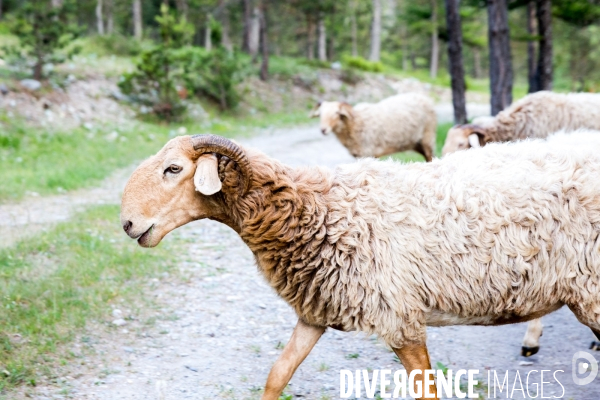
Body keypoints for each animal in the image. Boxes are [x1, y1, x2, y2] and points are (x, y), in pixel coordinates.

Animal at [120, 132, 600, 400]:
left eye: (173, 168)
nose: (127, 224)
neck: (318, 209)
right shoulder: (315, 310)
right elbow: (277, 376)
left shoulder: (400, 316)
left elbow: (426, 391)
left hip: (591, 292)